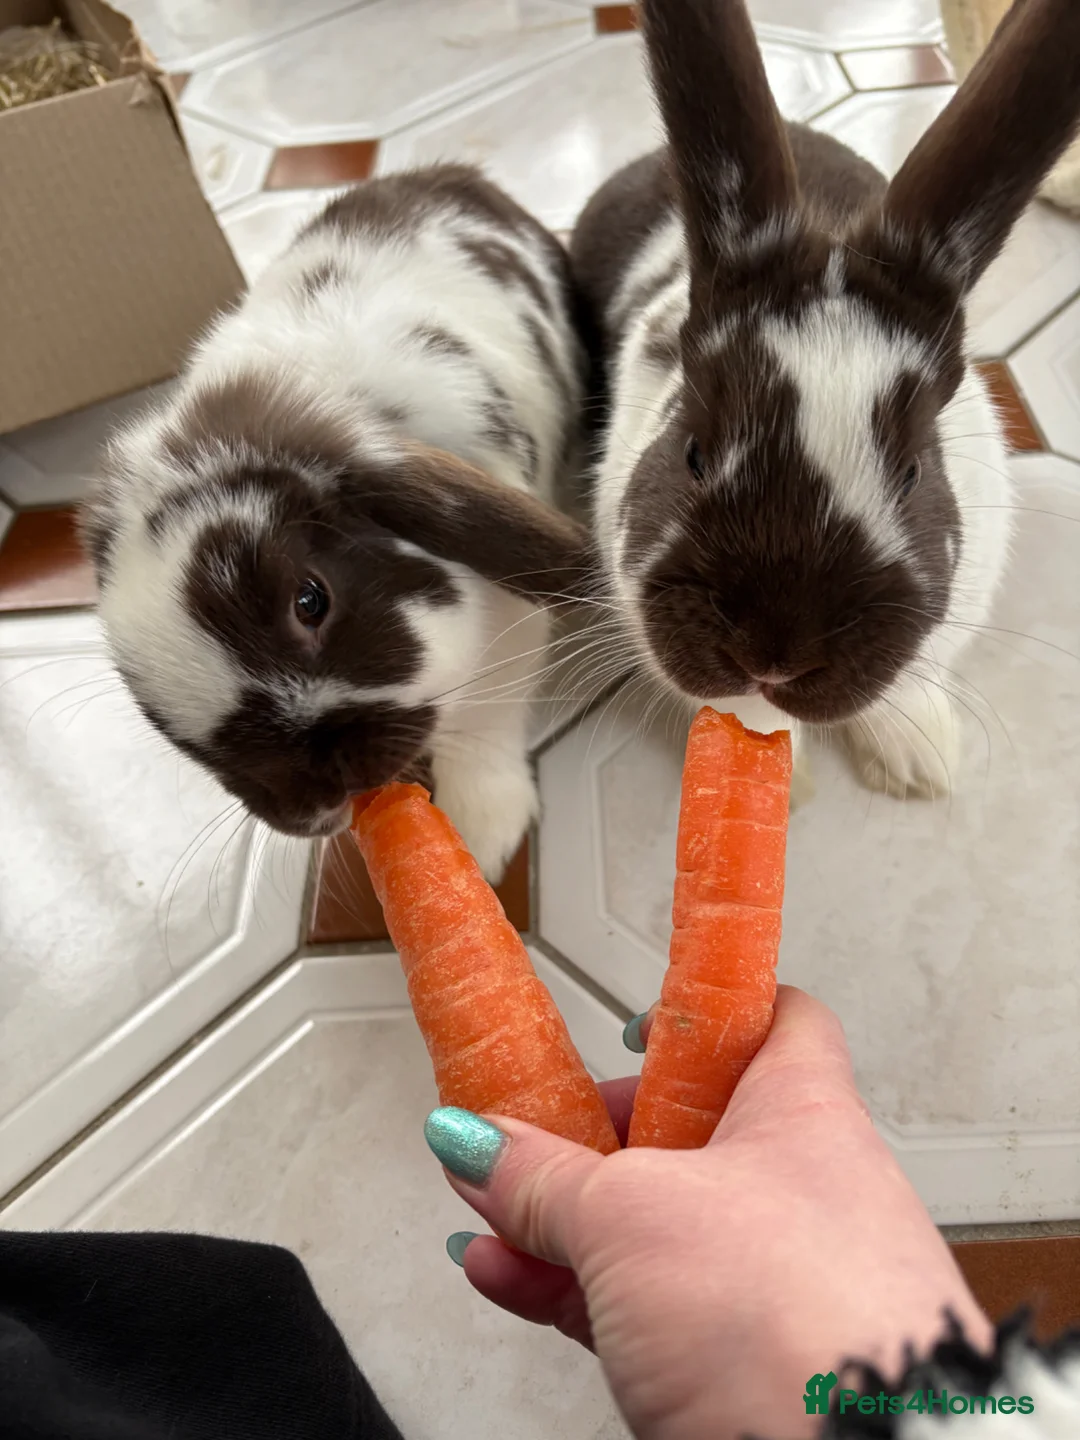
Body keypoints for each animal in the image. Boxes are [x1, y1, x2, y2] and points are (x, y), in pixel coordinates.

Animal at [80, 165, 590, 881]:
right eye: (144, 701)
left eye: (310, 600)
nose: (316, 786)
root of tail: (451, 173)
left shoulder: (508, 620)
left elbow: (487, 718)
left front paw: (481, 834)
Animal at [570, 0, 1080, 798]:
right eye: (693, 452)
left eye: (911, 473)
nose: (772, 657)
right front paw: (791, 778)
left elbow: (908, 690)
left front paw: (920, 767)